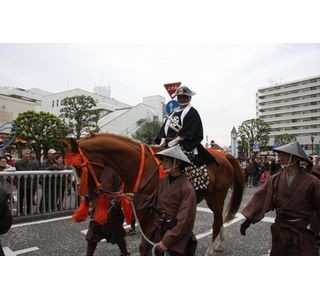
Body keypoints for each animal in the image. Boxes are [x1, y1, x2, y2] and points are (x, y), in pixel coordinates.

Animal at [63, 134, 245, 255]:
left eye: (80, 168)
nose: (86, 197)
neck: (139, 166)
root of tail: (224, 155)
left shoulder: (149, 213)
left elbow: (146, 246)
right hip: (210, 197)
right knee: (219, 218)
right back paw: (219, 245)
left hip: (218, 195)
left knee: (216, 221)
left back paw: (210, 250)